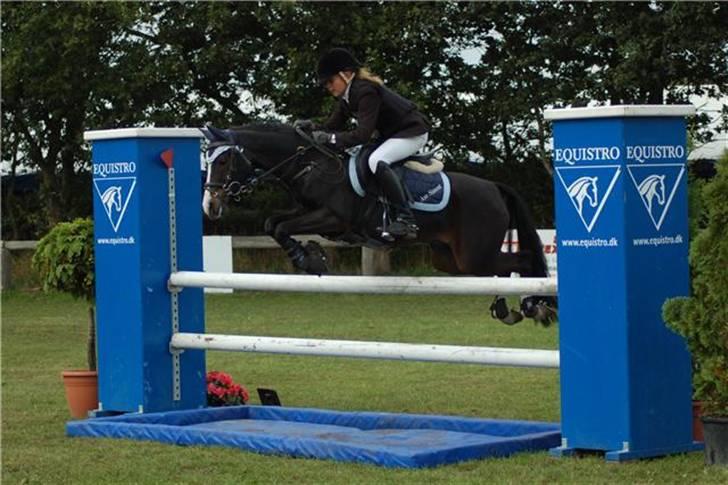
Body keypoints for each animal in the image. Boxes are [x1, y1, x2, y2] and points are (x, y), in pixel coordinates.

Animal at [201, 123, 556, 326]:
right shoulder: (305, 211)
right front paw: (310, 255)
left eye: (223, 160)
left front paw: (311, 259)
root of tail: (494, 187)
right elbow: (272, 223)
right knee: (501, 268)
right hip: (450, 259)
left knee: (523, 260)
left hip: (473, 254)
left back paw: (534, 305)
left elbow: (280, 227)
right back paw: (507, 308)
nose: (210, 206)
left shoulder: (334, 218)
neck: (309, 165)